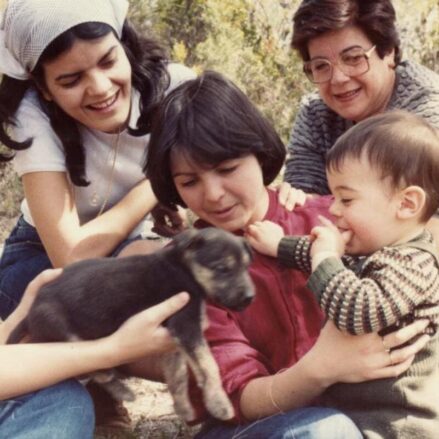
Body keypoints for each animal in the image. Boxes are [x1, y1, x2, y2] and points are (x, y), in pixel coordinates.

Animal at [6, 227, 254, 422]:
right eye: (222, 269)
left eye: (245, 267)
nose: (250, 297)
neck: (184, 269)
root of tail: (29, 313)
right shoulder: (187, 327)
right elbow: (209, 365)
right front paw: (220, 405)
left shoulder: (172, 342)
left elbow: (178, 376)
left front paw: (183, 408)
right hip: (64, 331)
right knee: (91, 368)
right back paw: (120, 386)